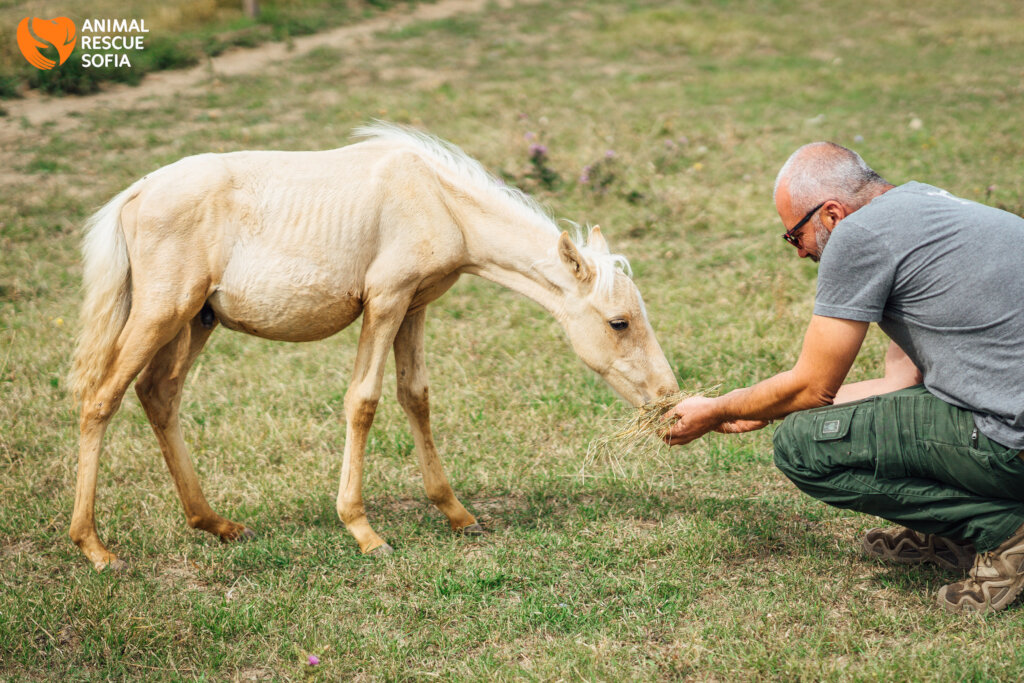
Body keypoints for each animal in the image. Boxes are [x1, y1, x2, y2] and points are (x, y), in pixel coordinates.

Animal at [68, 123, 679, 570]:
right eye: (620, 323)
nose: (669, 400)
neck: (436, 199)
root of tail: (137, 192)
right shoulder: (385, 303)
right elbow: (363, 402)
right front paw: (363, 531)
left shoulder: (414, 307)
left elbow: (416, 397)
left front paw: (457, 514)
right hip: (161, 313)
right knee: (101, 399)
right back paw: (95, 548)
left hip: (197, 321)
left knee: (159, 395)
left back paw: (215, 524)